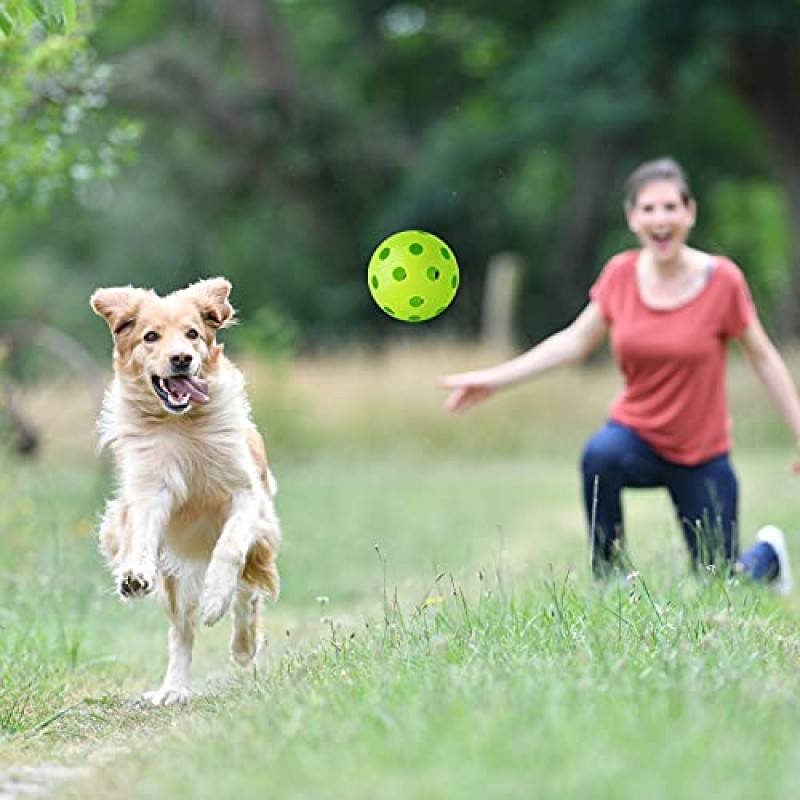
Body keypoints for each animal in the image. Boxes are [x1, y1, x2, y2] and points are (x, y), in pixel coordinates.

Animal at [90, 278, 282, 704]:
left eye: (193, 333)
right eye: (150, 336)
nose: (181, 358)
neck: (183, 423)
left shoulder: (247, 496)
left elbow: (229, 549)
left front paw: (213, 600)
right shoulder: (149, 488)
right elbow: (142, 534)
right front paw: (134, 575)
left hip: (260, 544)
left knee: (248, 594)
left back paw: (242, 646)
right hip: (173, 578)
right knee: (181, 632)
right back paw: (174, 688)